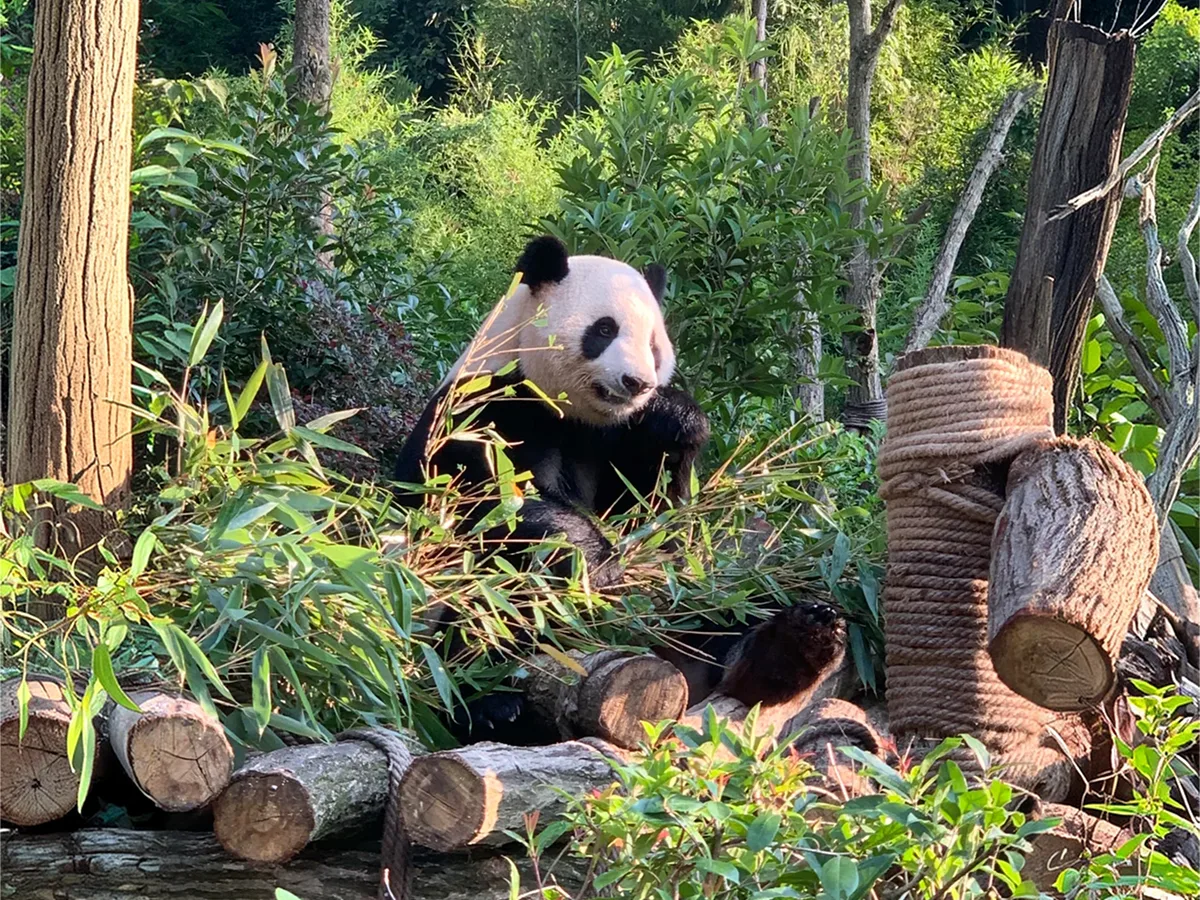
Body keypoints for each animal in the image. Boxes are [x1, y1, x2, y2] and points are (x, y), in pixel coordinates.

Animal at [394, 235, 846, 744]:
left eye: (653, 345)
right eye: (604, 330)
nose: (637, 383)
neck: (572, 413)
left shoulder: (618, 440)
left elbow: (659, 519)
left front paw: (676, 418)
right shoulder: (483, 409)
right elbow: (495, 502)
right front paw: (599, 564)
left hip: (705, 605)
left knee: (726, 602)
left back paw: (794, 644)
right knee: (485, 609)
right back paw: (495, 704)